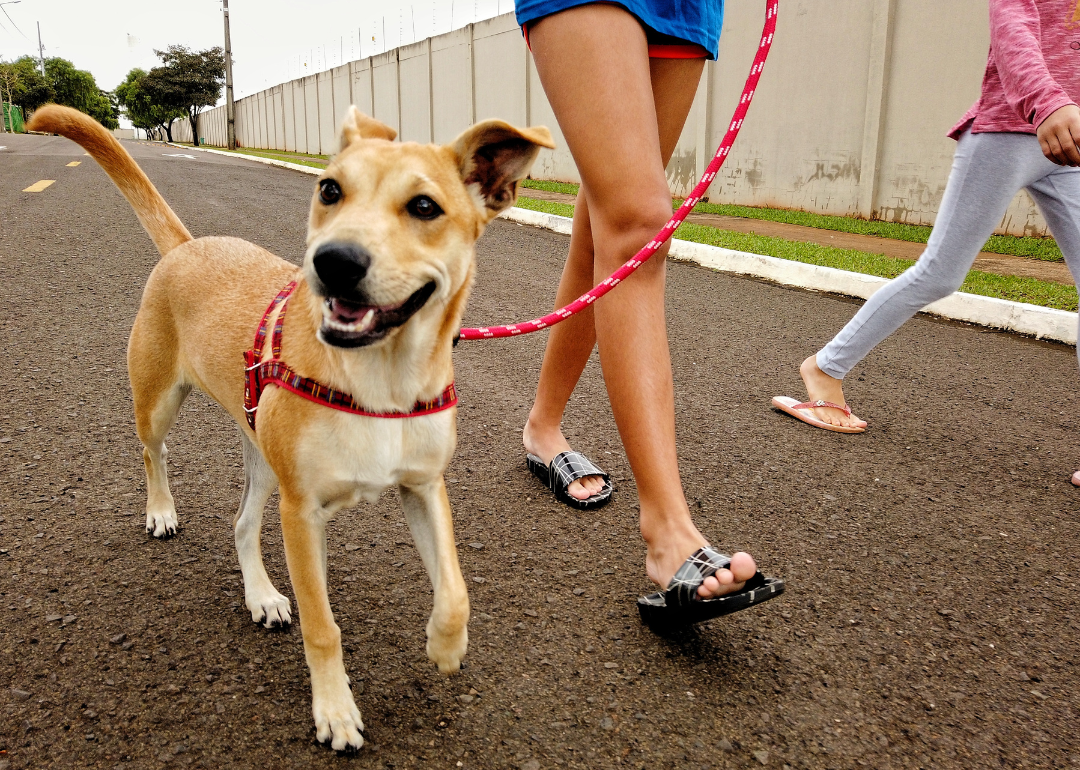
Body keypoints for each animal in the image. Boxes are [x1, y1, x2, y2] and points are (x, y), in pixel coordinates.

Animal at [29, 105, 552, 747]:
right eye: (329, 190)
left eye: (425, 206)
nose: (333, 261)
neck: (383, 380)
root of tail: (188, 246)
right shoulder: (302, 513)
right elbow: (322, 625)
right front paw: (335, 710)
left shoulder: (423, 486)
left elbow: (454, 588)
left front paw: (445, 646)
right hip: (158, 402)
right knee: (155, 452)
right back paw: (161, 511)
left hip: (261, 454)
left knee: (240, 524)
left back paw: (262, 596)